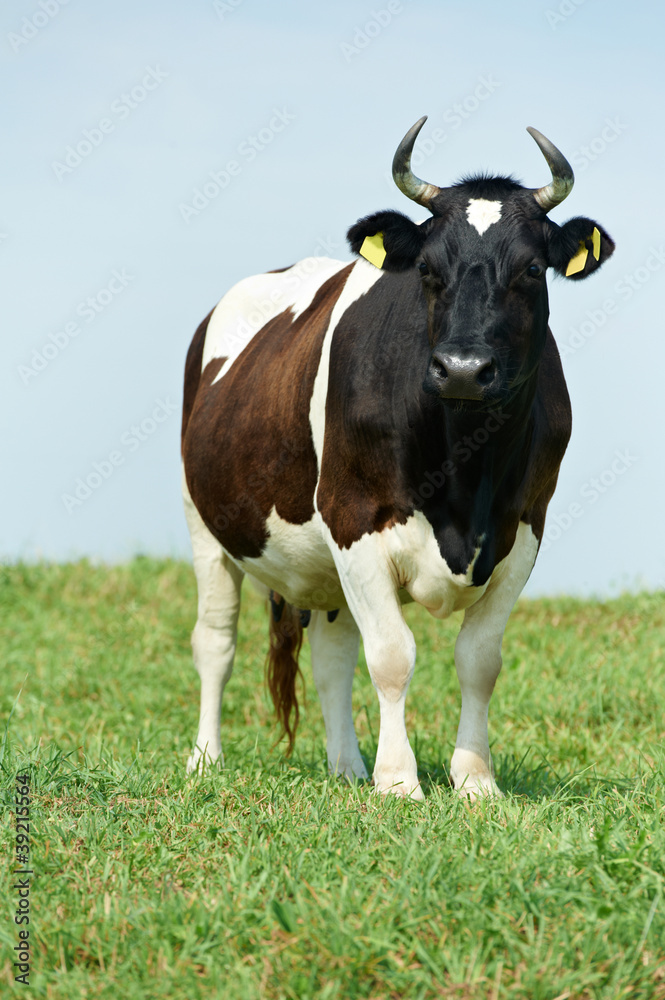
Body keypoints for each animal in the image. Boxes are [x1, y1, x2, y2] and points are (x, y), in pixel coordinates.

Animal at [180, 117, 612, 800]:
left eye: (531, 268)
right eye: (429, 269)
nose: (462, 368)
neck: (465, 482)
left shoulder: (526, 527)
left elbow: (479, 660)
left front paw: (474, 780)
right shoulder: (353, 518)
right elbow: (391, 655)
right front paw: (399, 781)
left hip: (323, 570)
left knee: (330, 658)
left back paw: (345, 766)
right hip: (206, 523)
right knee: (215, 641)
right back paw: (205, 759)